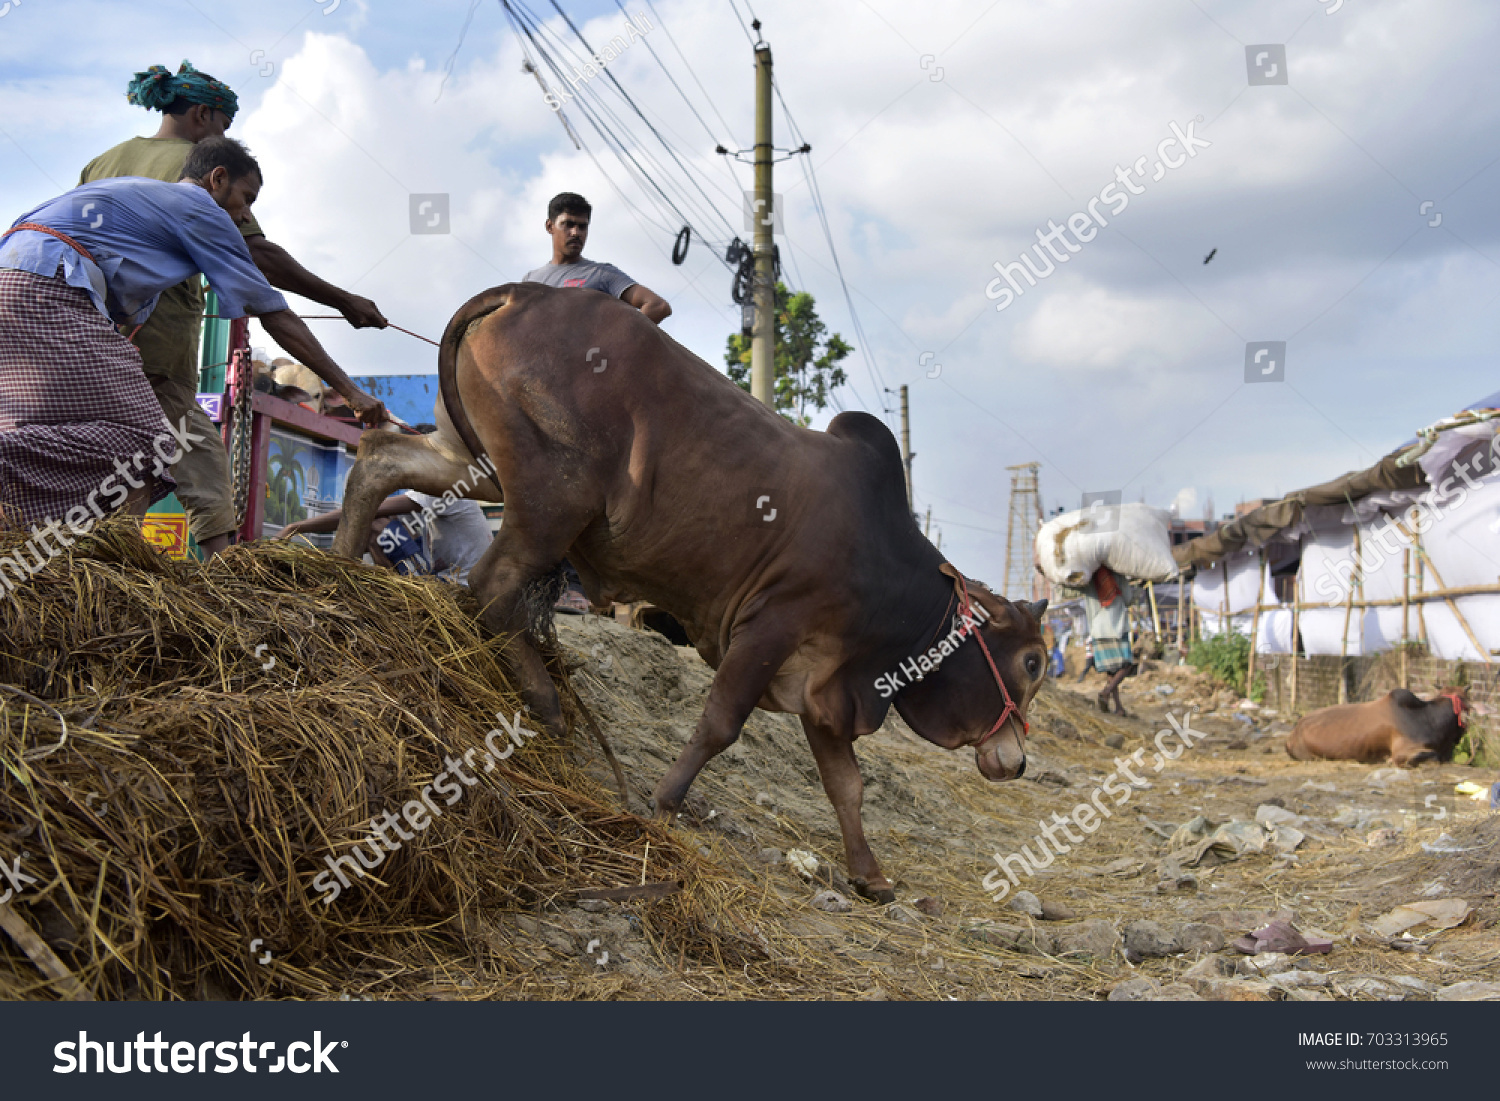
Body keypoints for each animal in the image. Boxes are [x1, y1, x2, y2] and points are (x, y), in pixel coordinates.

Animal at [334, 285, 1050, 906]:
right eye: (1033, 662)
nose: (1017, 764)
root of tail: (529, 292)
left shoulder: (822, 683)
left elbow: (846, 785)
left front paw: (870, 876)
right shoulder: (771, 628)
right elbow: (720, 726)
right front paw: (664, 804)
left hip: (474, 465)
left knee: (377, 456)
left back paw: (336, 566)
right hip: (549, 499)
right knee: (488, 590)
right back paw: (547, 704)